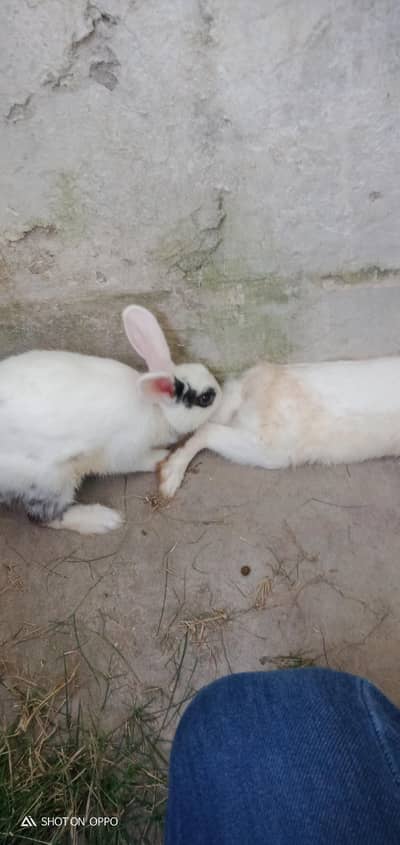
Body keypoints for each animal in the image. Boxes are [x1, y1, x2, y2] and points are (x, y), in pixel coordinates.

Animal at [0, 305, 221, 534]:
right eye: (206, 398)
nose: (222, 392)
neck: (154, 408)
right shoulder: (121, 452)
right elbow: (133, 463)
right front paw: (161, 457)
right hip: (50, 481)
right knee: (44, 517)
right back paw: (103, 520)